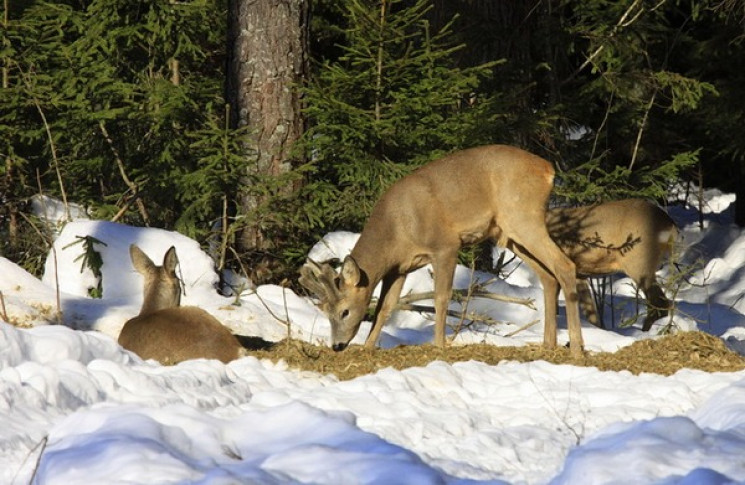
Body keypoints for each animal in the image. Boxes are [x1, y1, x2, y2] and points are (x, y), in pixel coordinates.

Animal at [298, 143, 588, 356]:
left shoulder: (445, 246)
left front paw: (438, 345)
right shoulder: (400, 267)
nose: (337, 346)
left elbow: (441, 297)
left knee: (565, 265)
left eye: (344, 311)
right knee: (548, 275)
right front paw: (367, 346)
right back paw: (548, 344)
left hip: (523, 216)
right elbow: (384, 306)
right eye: (325, 310)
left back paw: (576, 347)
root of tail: (548, 169)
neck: (396, 231)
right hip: (508, 234)